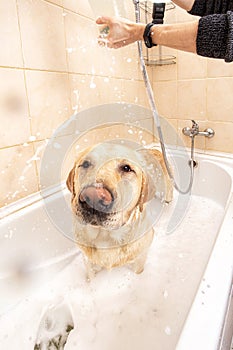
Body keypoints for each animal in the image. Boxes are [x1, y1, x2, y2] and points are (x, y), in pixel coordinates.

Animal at [66, 142, 172, 278]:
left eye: (126, 168)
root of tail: (154, 148)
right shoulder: (88, 262)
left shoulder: (140, 259)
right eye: (85, 164)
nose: (94, 197)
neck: (106, 238)